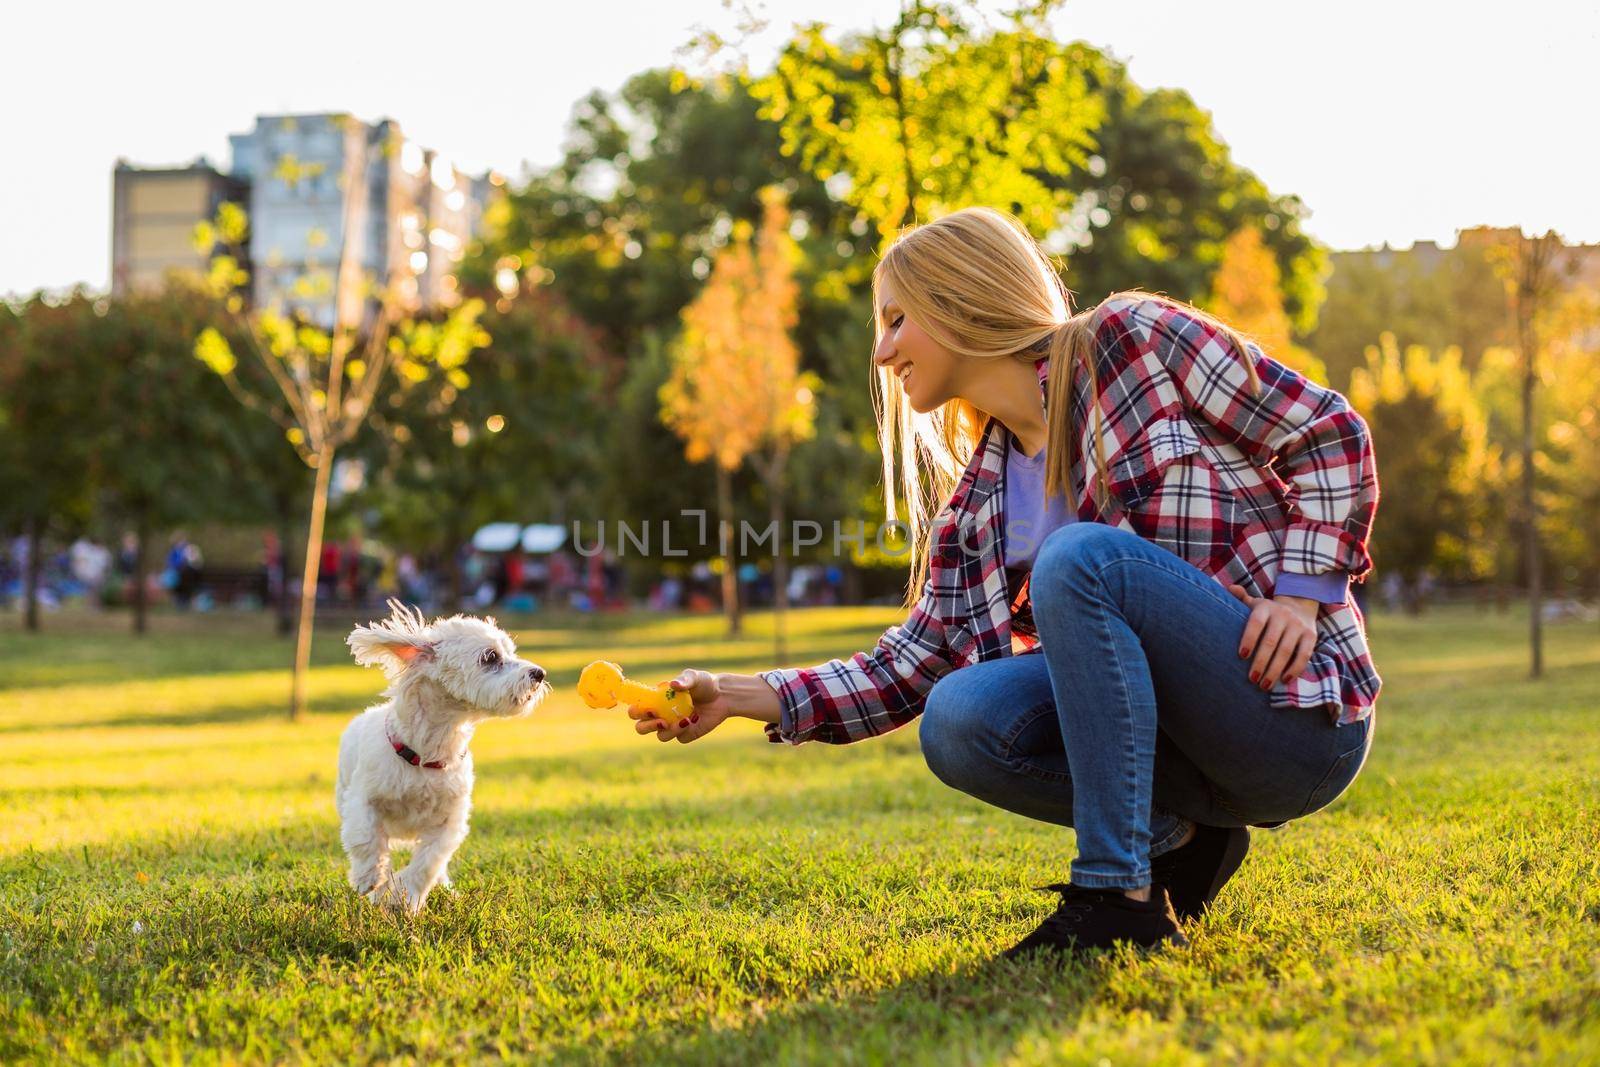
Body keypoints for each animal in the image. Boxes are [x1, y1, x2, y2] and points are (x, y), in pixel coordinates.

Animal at [334, 601, 547, 921]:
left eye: (510, 652)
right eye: (491, 657)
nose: (539, 673)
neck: (427, 754)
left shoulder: (449, 822)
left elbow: (427, 865)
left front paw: (405, 896)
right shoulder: (363, 801)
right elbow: (366, 839)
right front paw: (370, 879)